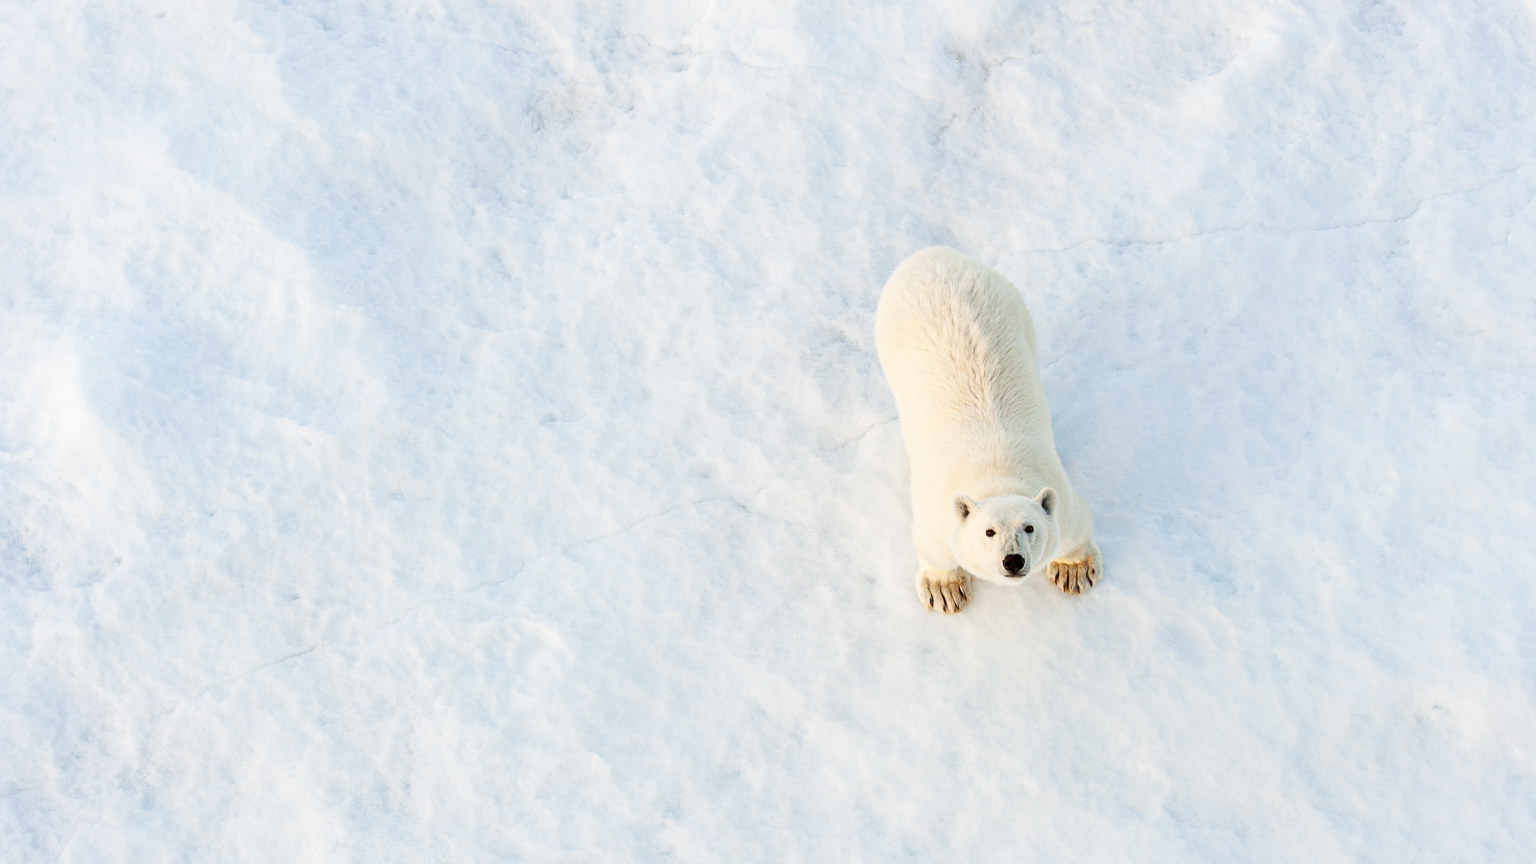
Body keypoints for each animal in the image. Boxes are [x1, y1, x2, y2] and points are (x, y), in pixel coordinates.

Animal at [874, 246, 1100, 613]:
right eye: (989, 531)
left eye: (1029, 527)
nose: (1013, 560)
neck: (997, 471)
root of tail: (933, 253)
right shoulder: (936, 513)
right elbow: (934, 548)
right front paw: (945, 589)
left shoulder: (1060, 497)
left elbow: (1074, 527)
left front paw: (1074, 571)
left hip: (1012, 303)